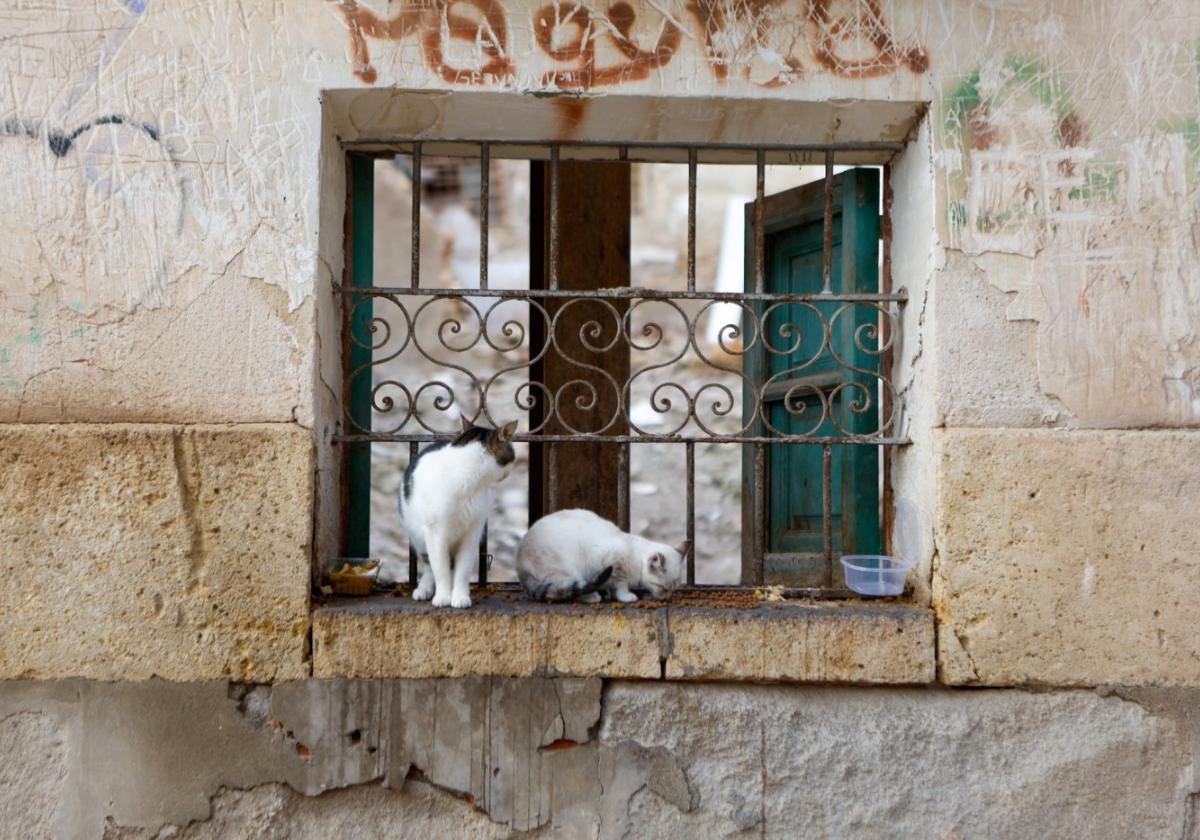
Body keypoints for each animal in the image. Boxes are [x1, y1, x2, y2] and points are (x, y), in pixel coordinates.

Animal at [403, 417, 516, 607]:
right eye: (512, 456)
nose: (510, 471)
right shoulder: (435, 533)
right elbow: (440, 569)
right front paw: (443, 596)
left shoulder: (472, 532)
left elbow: (462, 570)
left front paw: (460, 596)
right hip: (418, 536)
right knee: (429, 565)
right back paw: (424, 589)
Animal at [513, 508, 686, 600]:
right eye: (663, 588)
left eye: (674, 589)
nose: (668, 597)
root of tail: (520, 567)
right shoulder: (614, 564)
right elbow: (620, 585)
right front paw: (625, 597)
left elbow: (612, 587)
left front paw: (610, 594)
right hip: (571, 569)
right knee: (568, 589)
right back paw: (592, 597)